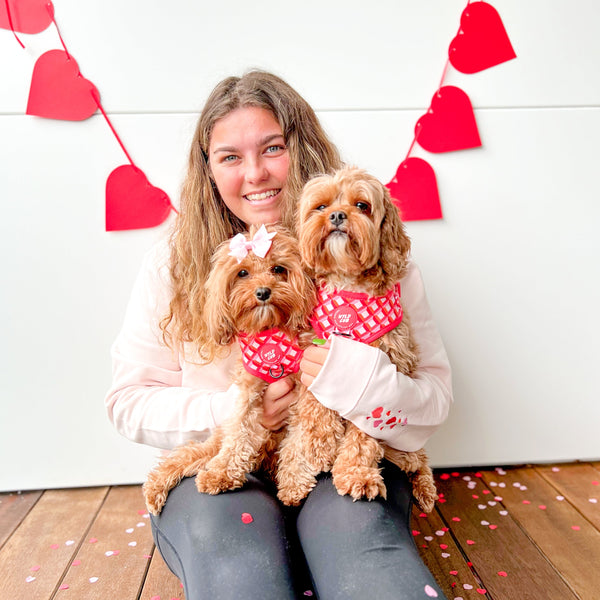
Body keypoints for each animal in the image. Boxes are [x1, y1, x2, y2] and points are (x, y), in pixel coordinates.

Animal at [142, 223, 344, 512]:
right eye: (243, 273)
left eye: (278, 269)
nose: (262, 292)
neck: (271, 336)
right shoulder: (248, 392)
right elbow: (239, 434)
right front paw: (221, 474)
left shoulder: (307, 394)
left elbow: (300, 441)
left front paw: (293, 483)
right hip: (213, 441)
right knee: (187, 453)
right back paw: (156, 486)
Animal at [286, 164, 436, 510]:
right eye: (321, 206)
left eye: (362, 205)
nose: (337, 215)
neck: (349, 288)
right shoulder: (313, 349)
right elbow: (314, 406)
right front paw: (316, 447)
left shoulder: (388, 360)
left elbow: (362, 432)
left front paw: (357, 474)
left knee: (417, 459)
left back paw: (422, 484)